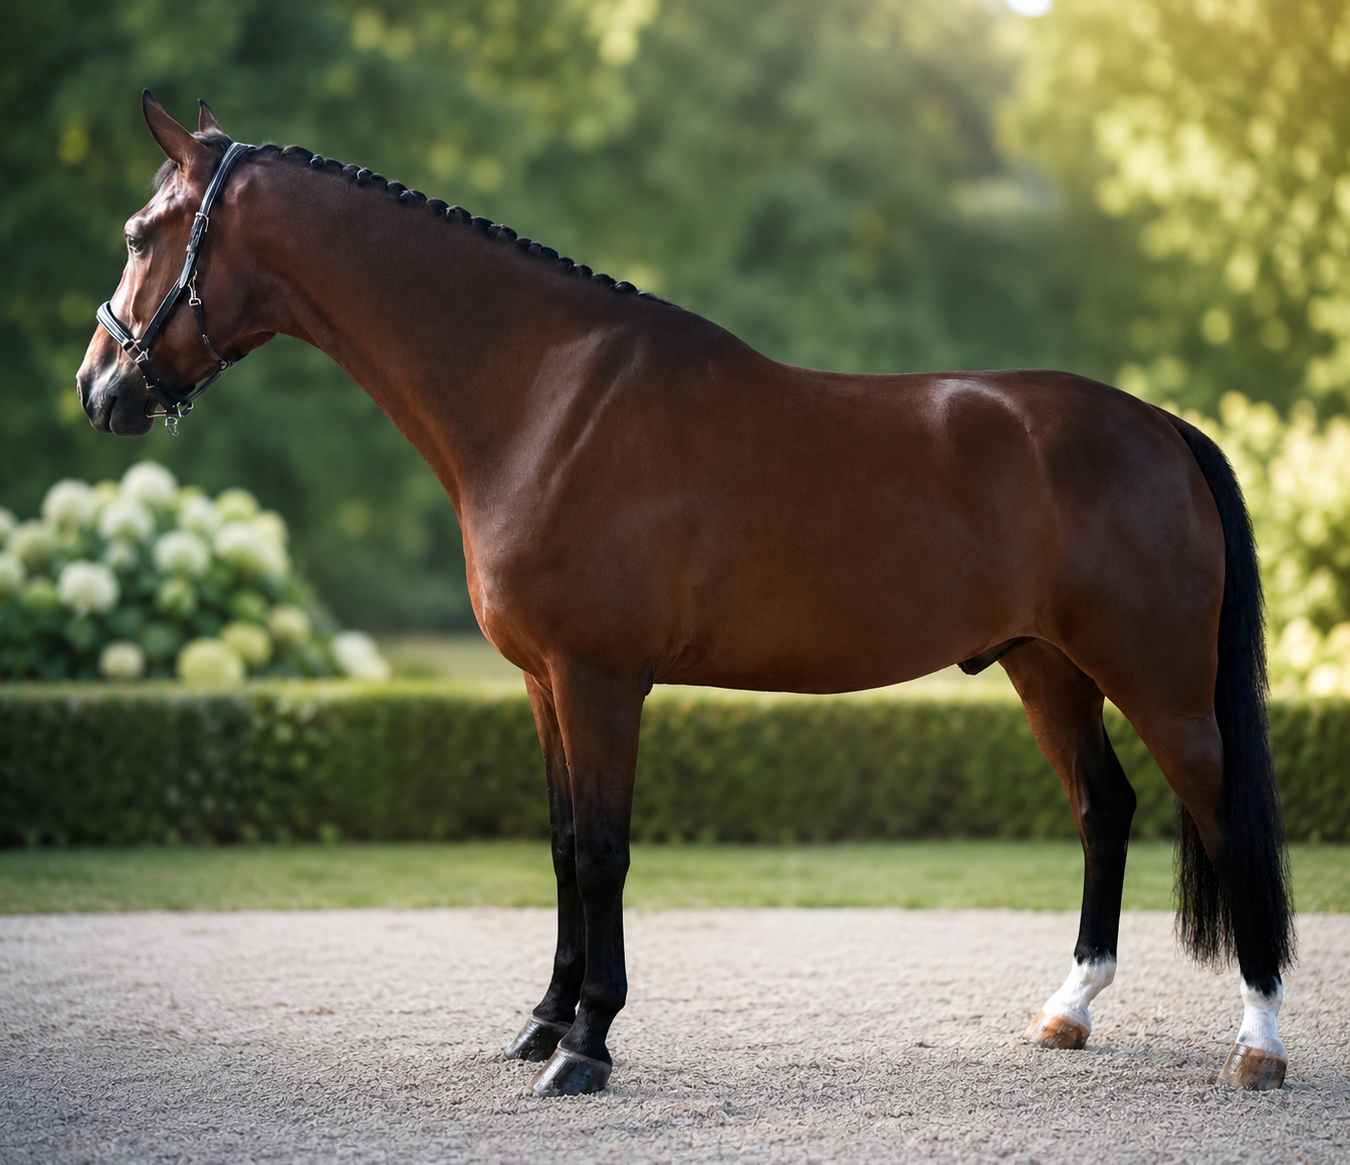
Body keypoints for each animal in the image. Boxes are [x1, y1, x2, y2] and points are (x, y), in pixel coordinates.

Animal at [78, 93, 1294, 1096]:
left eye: (141, 236)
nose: (99, 388)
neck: (546, 399)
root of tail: (1162, 427)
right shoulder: (544, 684)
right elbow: (563, 844)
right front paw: (543, 1020)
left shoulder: (602, 680)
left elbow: (605, 851)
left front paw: (587, 1045)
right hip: (1047, 667)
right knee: (1105, 808)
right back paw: (1067, 1011)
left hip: (1160, 681)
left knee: (1225, 816)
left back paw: (1259, 1044)